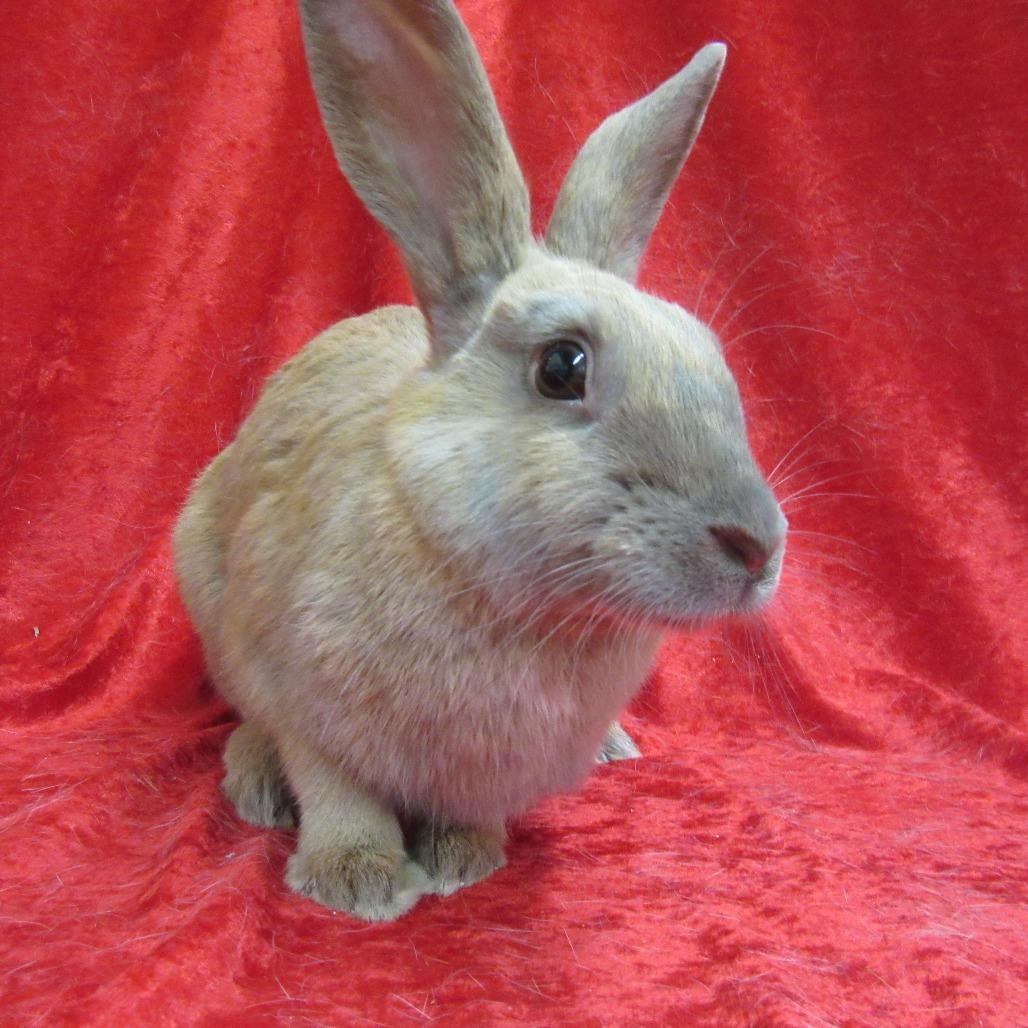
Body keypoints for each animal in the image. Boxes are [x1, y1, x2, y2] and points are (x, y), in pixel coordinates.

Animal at [173, 0, 786, 922]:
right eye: (562, 366)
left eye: (713, 357)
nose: (758, 548)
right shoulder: (304, 700)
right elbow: (336, 789)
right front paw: (357, 882)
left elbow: (469, 811)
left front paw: (466, 858)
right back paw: (256, 785)